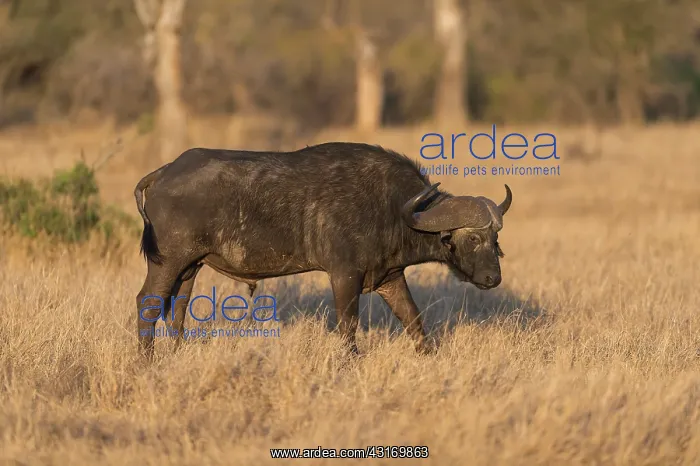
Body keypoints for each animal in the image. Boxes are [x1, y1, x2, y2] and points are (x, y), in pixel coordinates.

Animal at [134, 142, 512, 360]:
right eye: (472, 239)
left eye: (495, 239)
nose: (493, 278)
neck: (393, 208)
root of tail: (165, 171)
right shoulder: (344, 274)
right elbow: (348, 323)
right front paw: (350, 361)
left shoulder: (390, 278)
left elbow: (413, 319)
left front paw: (429, 355)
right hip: (167, 262)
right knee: (148, 303)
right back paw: (147, 360)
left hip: (190, 267)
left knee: (177, 310)